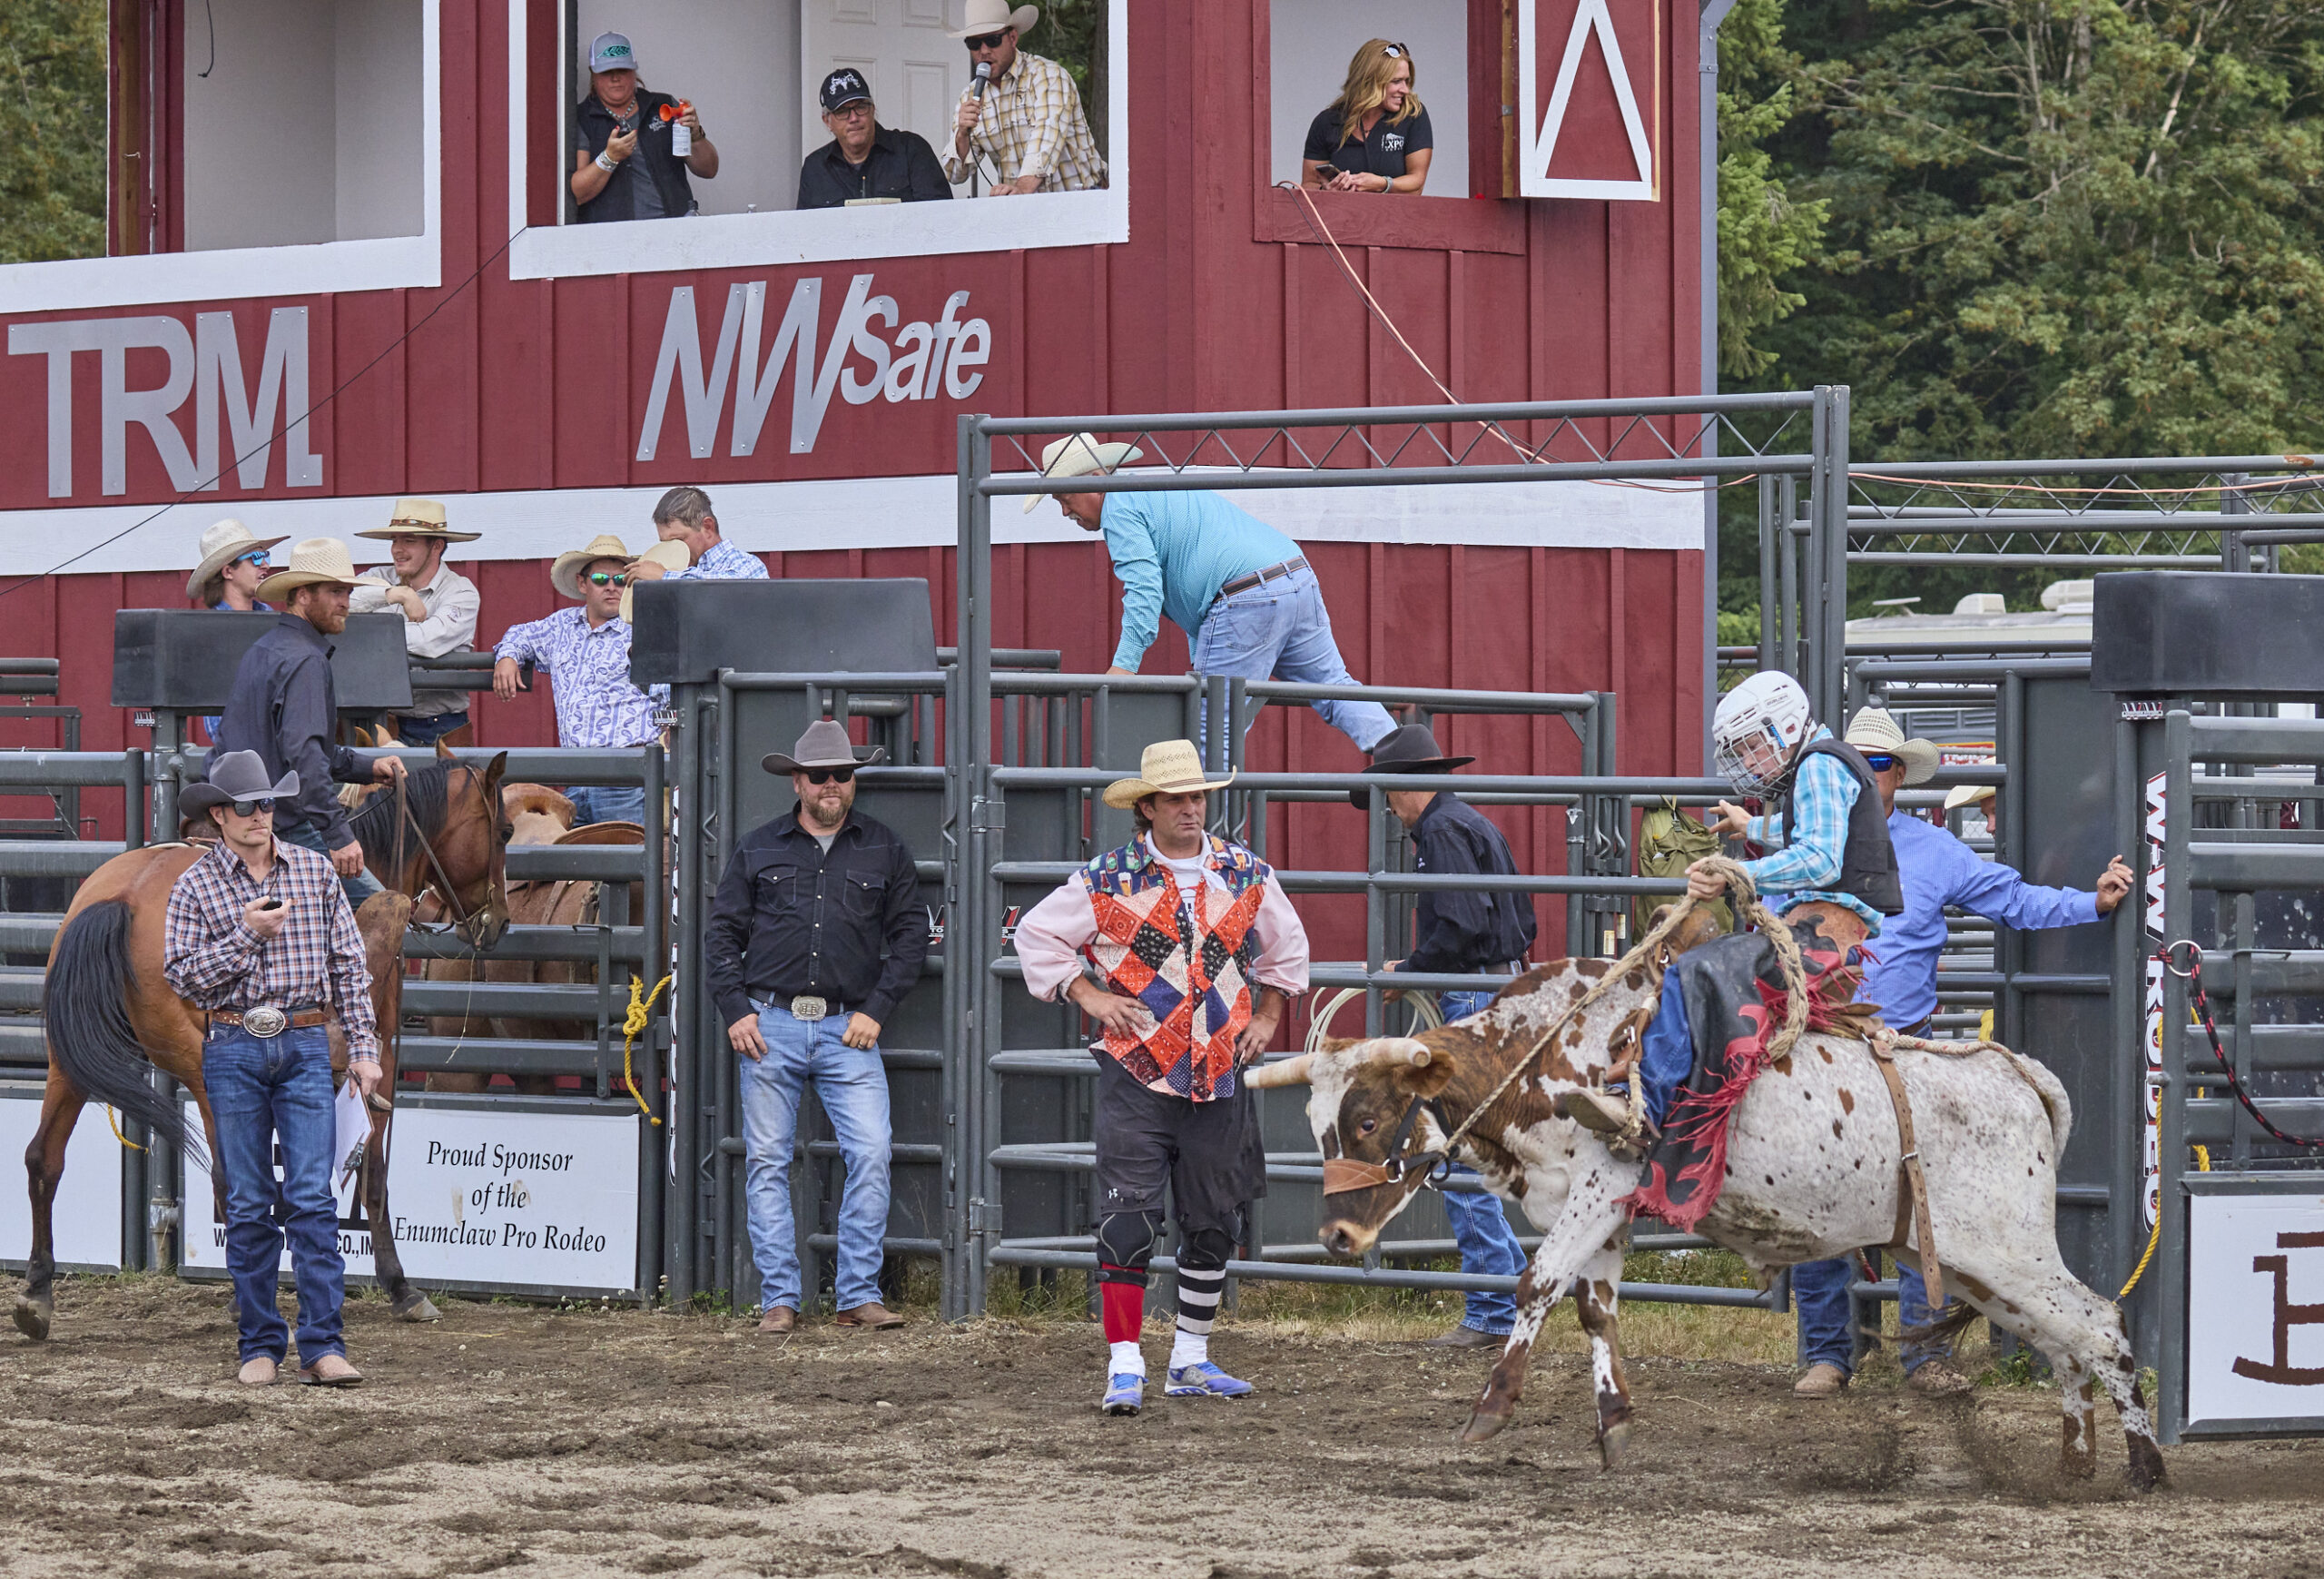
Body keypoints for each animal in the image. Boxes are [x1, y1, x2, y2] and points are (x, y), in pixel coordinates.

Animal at [19, 748, 513, 1329]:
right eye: (504, 831)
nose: (499, 922)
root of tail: (123, 896)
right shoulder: (381, 1056)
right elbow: (372, 1171)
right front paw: (399, 1285)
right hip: (204, 1067)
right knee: (230, 1179)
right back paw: (247, 1297)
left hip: (69, 1058)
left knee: (43, 1158)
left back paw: (36, 1292)